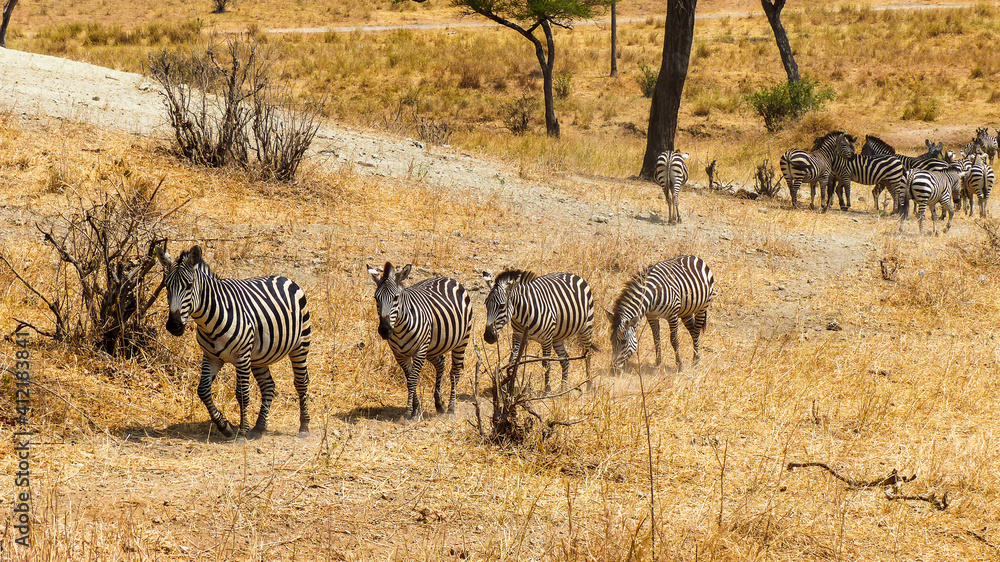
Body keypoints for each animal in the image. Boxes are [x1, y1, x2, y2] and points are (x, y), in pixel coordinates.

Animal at [155, 245, 311, 440]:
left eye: (189, 286)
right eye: (166, 286)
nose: (174, 326)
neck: (209, 319)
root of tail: (283, 277)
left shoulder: (242, 356)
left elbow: (242, 393)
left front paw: (242, 432)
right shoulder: (211, 356)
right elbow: (203, 390)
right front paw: (225, 426)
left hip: (300, 345)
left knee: (301, 382)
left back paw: (304, 427)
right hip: (259, 356)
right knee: (268, 385)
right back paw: (259, 428)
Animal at [367, 262, 473, 420]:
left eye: (396, 298)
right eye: (376, 298)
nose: (385, 330)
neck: (399, 328)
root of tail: (450, 279)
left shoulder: (420, 350)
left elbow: (412, 379)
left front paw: (408, 412)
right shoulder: (399, 354)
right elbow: (409, 379)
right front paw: (416, 408)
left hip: (461, 341)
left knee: (454, 373)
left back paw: (451, 408)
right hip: (433, 347)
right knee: (441, 364)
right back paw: (439, 404)